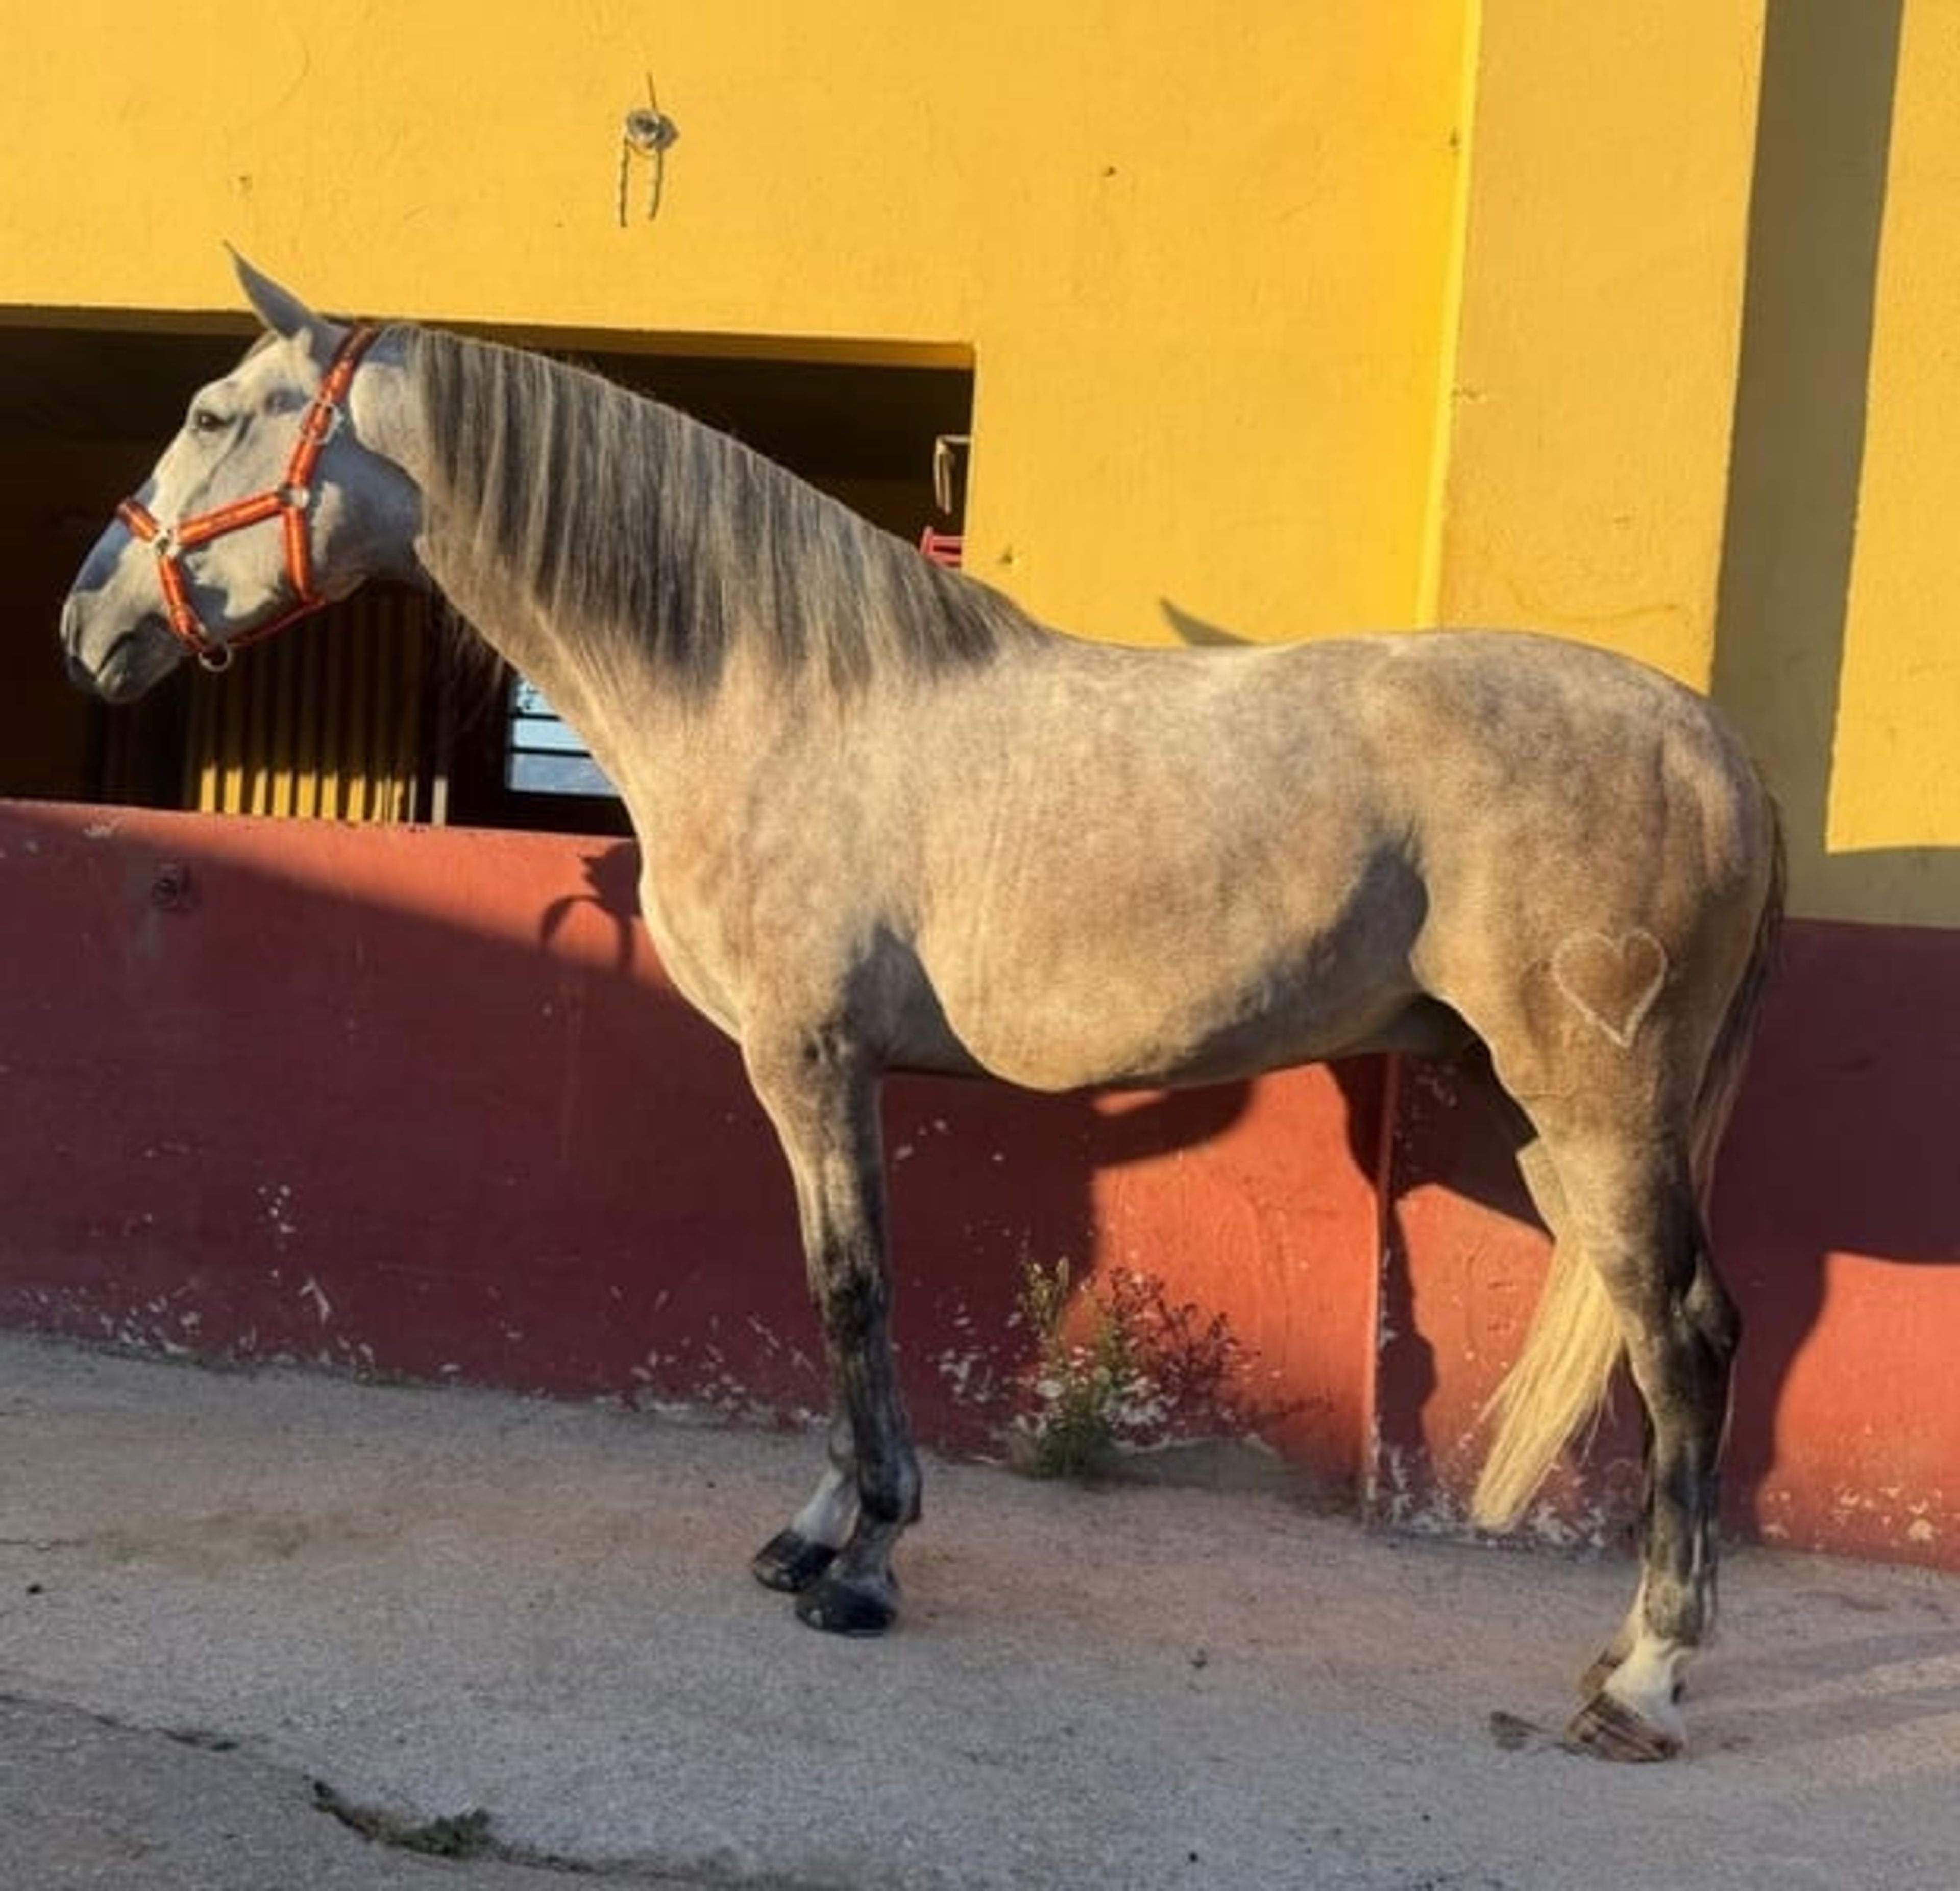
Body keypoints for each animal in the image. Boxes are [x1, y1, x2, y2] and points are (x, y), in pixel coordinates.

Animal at [60, 255, 1784, 1762]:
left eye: (217, 411)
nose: (89, 622)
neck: (774, 697)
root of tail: (1716, 745)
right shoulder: (821, 1073)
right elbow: (843, 1285)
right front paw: (814, 1531)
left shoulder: (811, 1059)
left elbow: (850, 1289)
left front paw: (866, 1561)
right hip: (1541, 1113)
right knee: (1654, 1336)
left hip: (1596, 1106)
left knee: (1686, 1339)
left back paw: (1644, 1681)